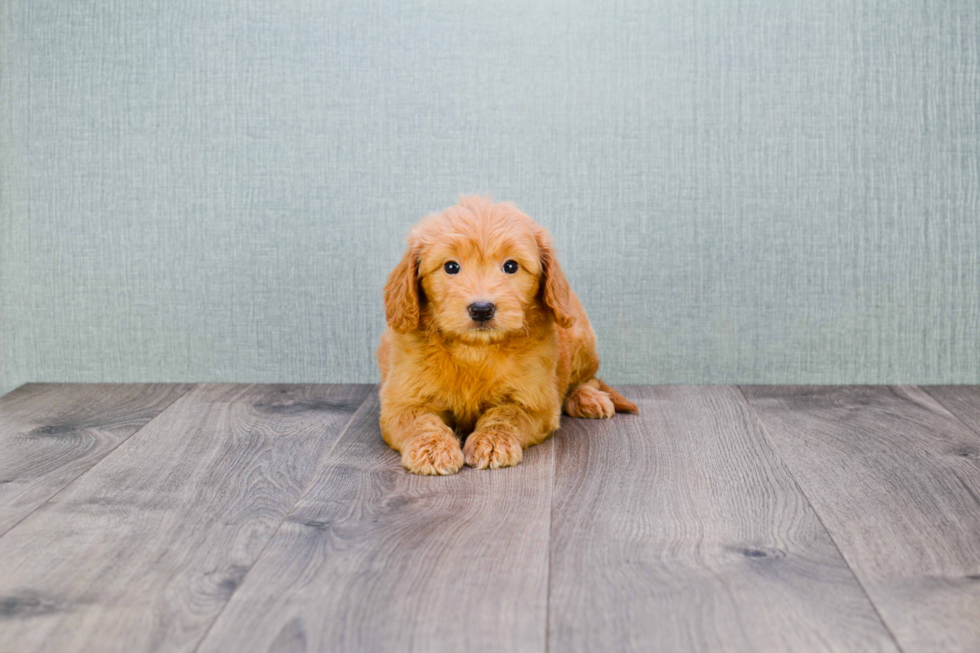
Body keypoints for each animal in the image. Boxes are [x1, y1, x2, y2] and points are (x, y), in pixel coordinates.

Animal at [376, 194, 636, 474]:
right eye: (451, 266)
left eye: (511, 266)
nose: (481, 309)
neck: (475, 350)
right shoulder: (402, 400)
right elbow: (419, 420)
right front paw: (433, 448)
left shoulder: (534, 401)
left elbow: (506, 415)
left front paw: (492, 442)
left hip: (581, 339)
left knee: (586, 379)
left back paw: (588, 398)